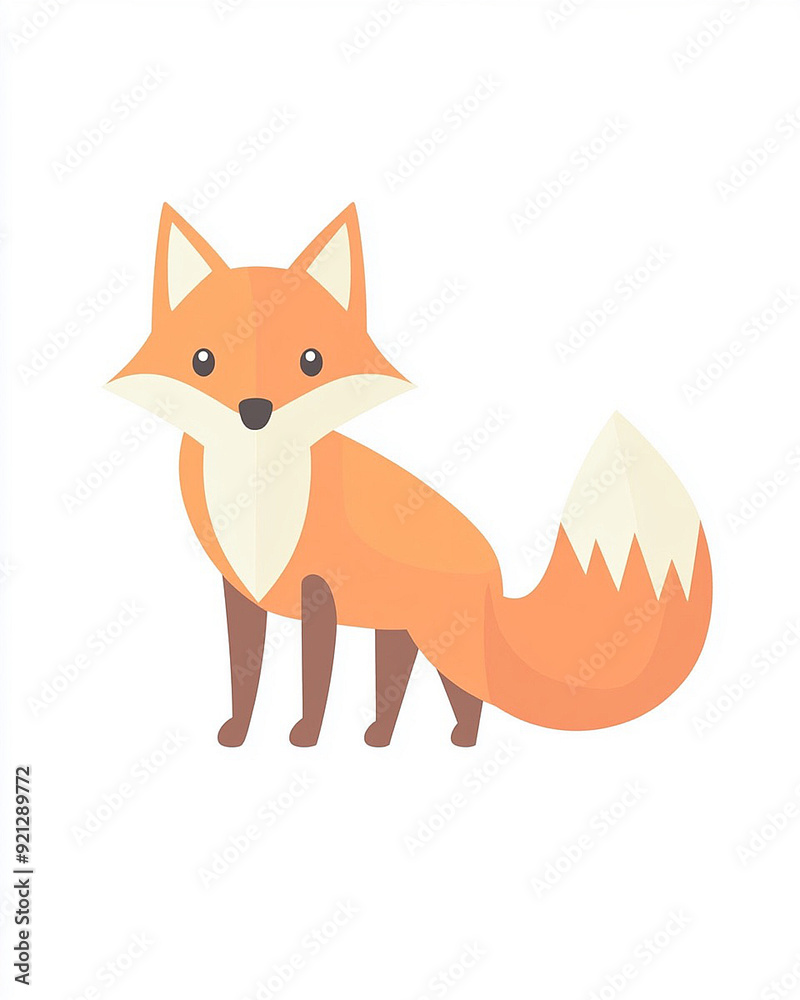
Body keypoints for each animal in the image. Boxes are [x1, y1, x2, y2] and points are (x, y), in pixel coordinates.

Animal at [108, 202, 712, 748]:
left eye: (311, 361)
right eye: (203, 361)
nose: (255, 411)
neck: (262, 490)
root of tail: (494, 575)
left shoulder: (319, 593)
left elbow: (314, 679)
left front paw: (305, 737)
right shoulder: (241, 592)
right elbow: (244, 676)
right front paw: (236, 735)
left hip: (442, 644)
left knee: (469, 696)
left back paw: (460, 741)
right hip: (401, 634)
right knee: (399, 690)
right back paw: (381, 737)